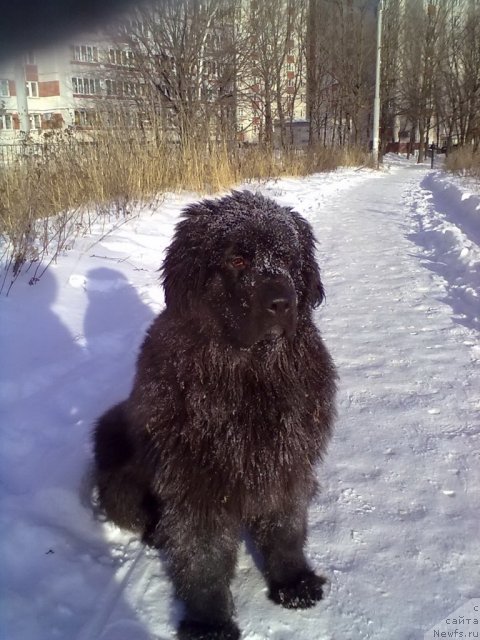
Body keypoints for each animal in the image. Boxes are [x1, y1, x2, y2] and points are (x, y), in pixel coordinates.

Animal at [93, 190, 338, 640]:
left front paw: (293, 582)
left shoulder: (286, 460)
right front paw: (209, 622)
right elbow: (202, 555)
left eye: (287, 257)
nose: (282, 302)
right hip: (112, 444)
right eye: (237, 260)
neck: (248, 374)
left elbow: (285, 527)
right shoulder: (194, 478)